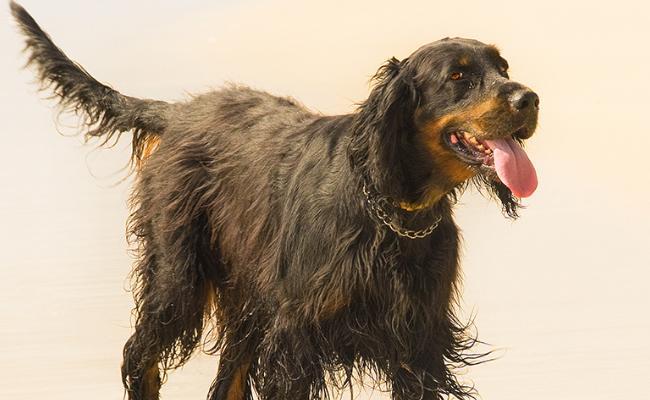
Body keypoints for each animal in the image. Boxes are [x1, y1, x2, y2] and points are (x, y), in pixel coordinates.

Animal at [10, 1, 536, 398]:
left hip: (248, 298)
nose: (529, 98)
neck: (390, 209)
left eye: (503, 68)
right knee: (140, 356)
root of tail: (178, 113)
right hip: (178, 275)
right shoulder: (296, 338)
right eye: (459, 77)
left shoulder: (417, 341)